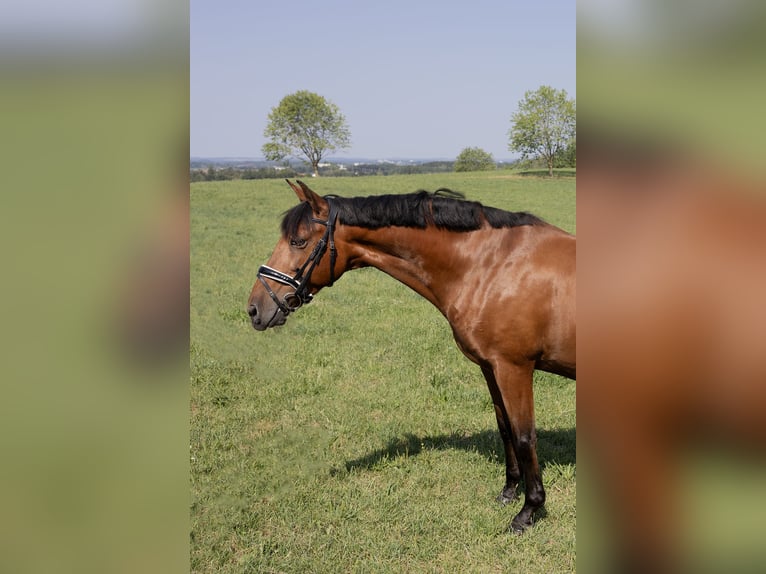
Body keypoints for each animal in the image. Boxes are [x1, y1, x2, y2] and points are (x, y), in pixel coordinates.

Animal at [247, 179, 576, 532]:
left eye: (298, 241)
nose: (255, 308)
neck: (492, 265)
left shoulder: (514, 368)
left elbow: (525, 436)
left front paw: (529, 510)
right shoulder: (491, 367)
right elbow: (505, 429)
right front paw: (509, 492)